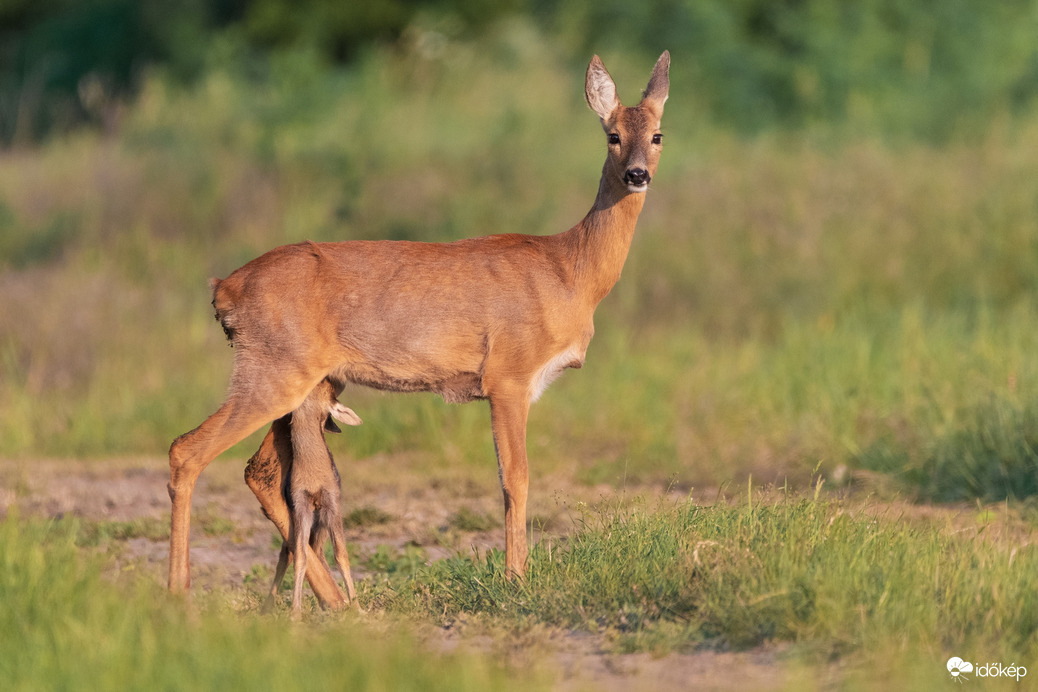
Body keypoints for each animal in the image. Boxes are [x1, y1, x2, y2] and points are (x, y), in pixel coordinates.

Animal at [168, 50, 672, 597]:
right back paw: (179, 595)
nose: (637, 175)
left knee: (258, 471)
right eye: (612, 135)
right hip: (273, 372)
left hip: (307, 383)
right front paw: (516, 581)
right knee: (187, 451)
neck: (570, 272)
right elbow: (515, 478)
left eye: (658, 134)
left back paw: (334, 602)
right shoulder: (509, 377)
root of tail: (224, 289)